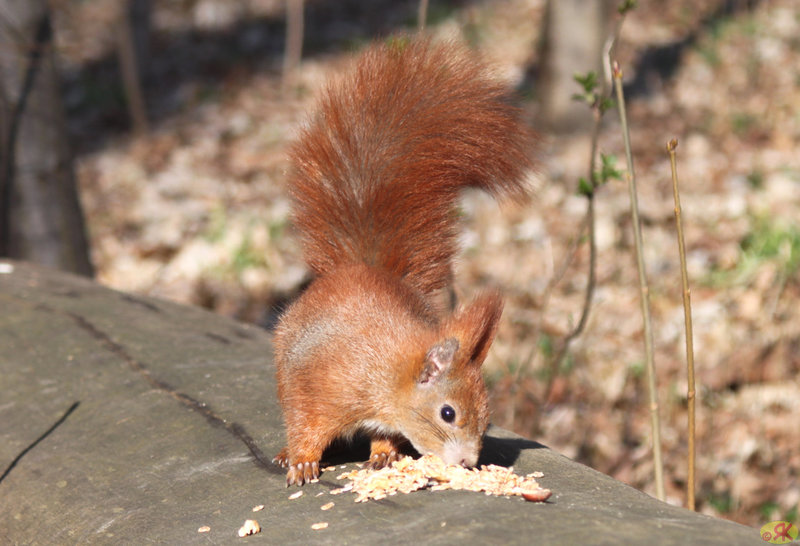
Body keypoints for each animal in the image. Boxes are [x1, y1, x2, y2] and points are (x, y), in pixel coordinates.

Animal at [272, 36, 536, 482]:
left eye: (487, 419)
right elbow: (305, 422)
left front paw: (383, 454)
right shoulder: (319, 387)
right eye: (447, 413)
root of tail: (359, 267)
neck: (388, 377)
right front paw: (303, 460)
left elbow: (386, 434)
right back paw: (284, 453)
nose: (467, 462)